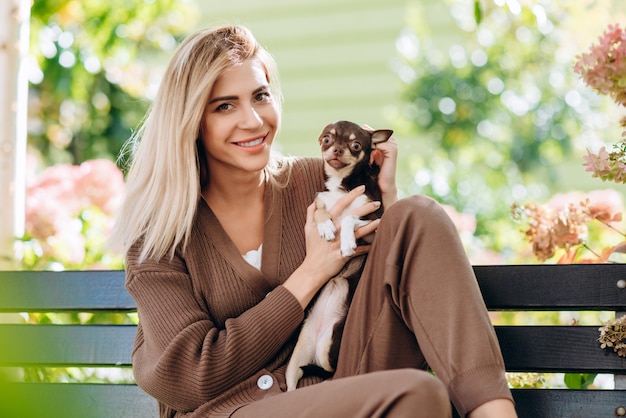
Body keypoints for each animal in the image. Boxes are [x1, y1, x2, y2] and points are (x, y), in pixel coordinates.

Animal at [286, 119, 392, 390]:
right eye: (327, 139)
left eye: (356, 145)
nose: (336, 149)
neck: (341, 188)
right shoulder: (320, 201)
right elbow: (320, 212)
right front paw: (326, 226)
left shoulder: (374, 223)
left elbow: (349, 219)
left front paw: (346, 242)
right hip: (295, 361)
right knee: (291, 384)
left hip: (328, 348)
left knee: (328, 372)